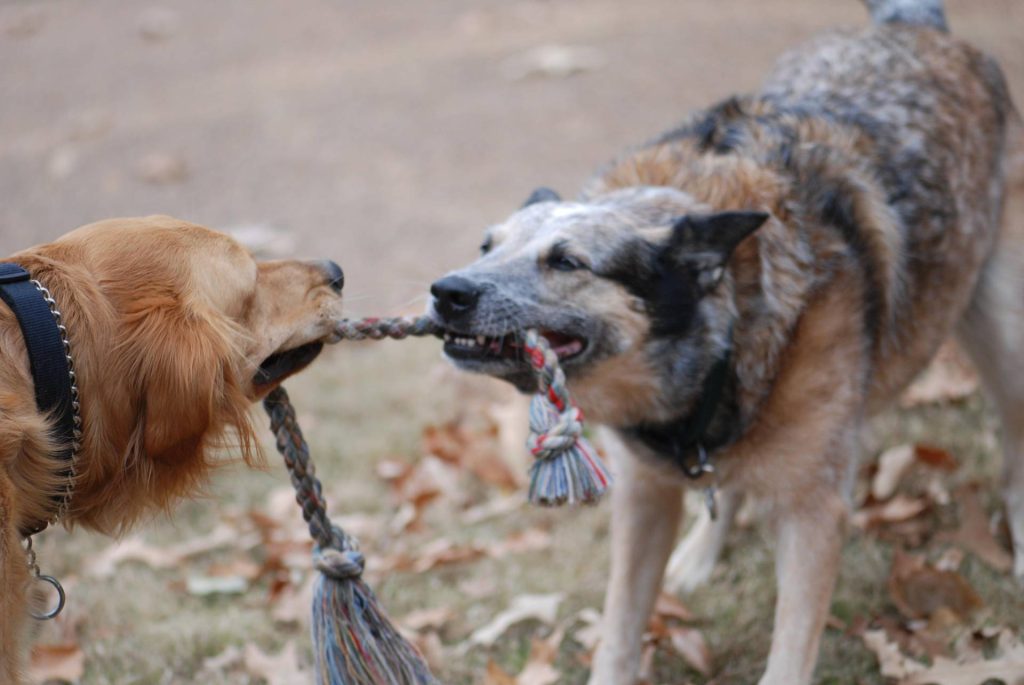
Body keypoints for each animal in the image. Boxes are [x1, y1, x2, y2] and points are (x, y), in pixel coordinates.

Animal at [428, 2, 1019, 679]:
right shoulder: (642, 492)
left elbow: (788, 658)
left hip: (1003, 332)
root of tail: (913, 24)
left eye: (567, 262)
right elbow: (618, 632)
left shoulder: (815, 514)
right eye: (486, 246)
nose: (446, 292)